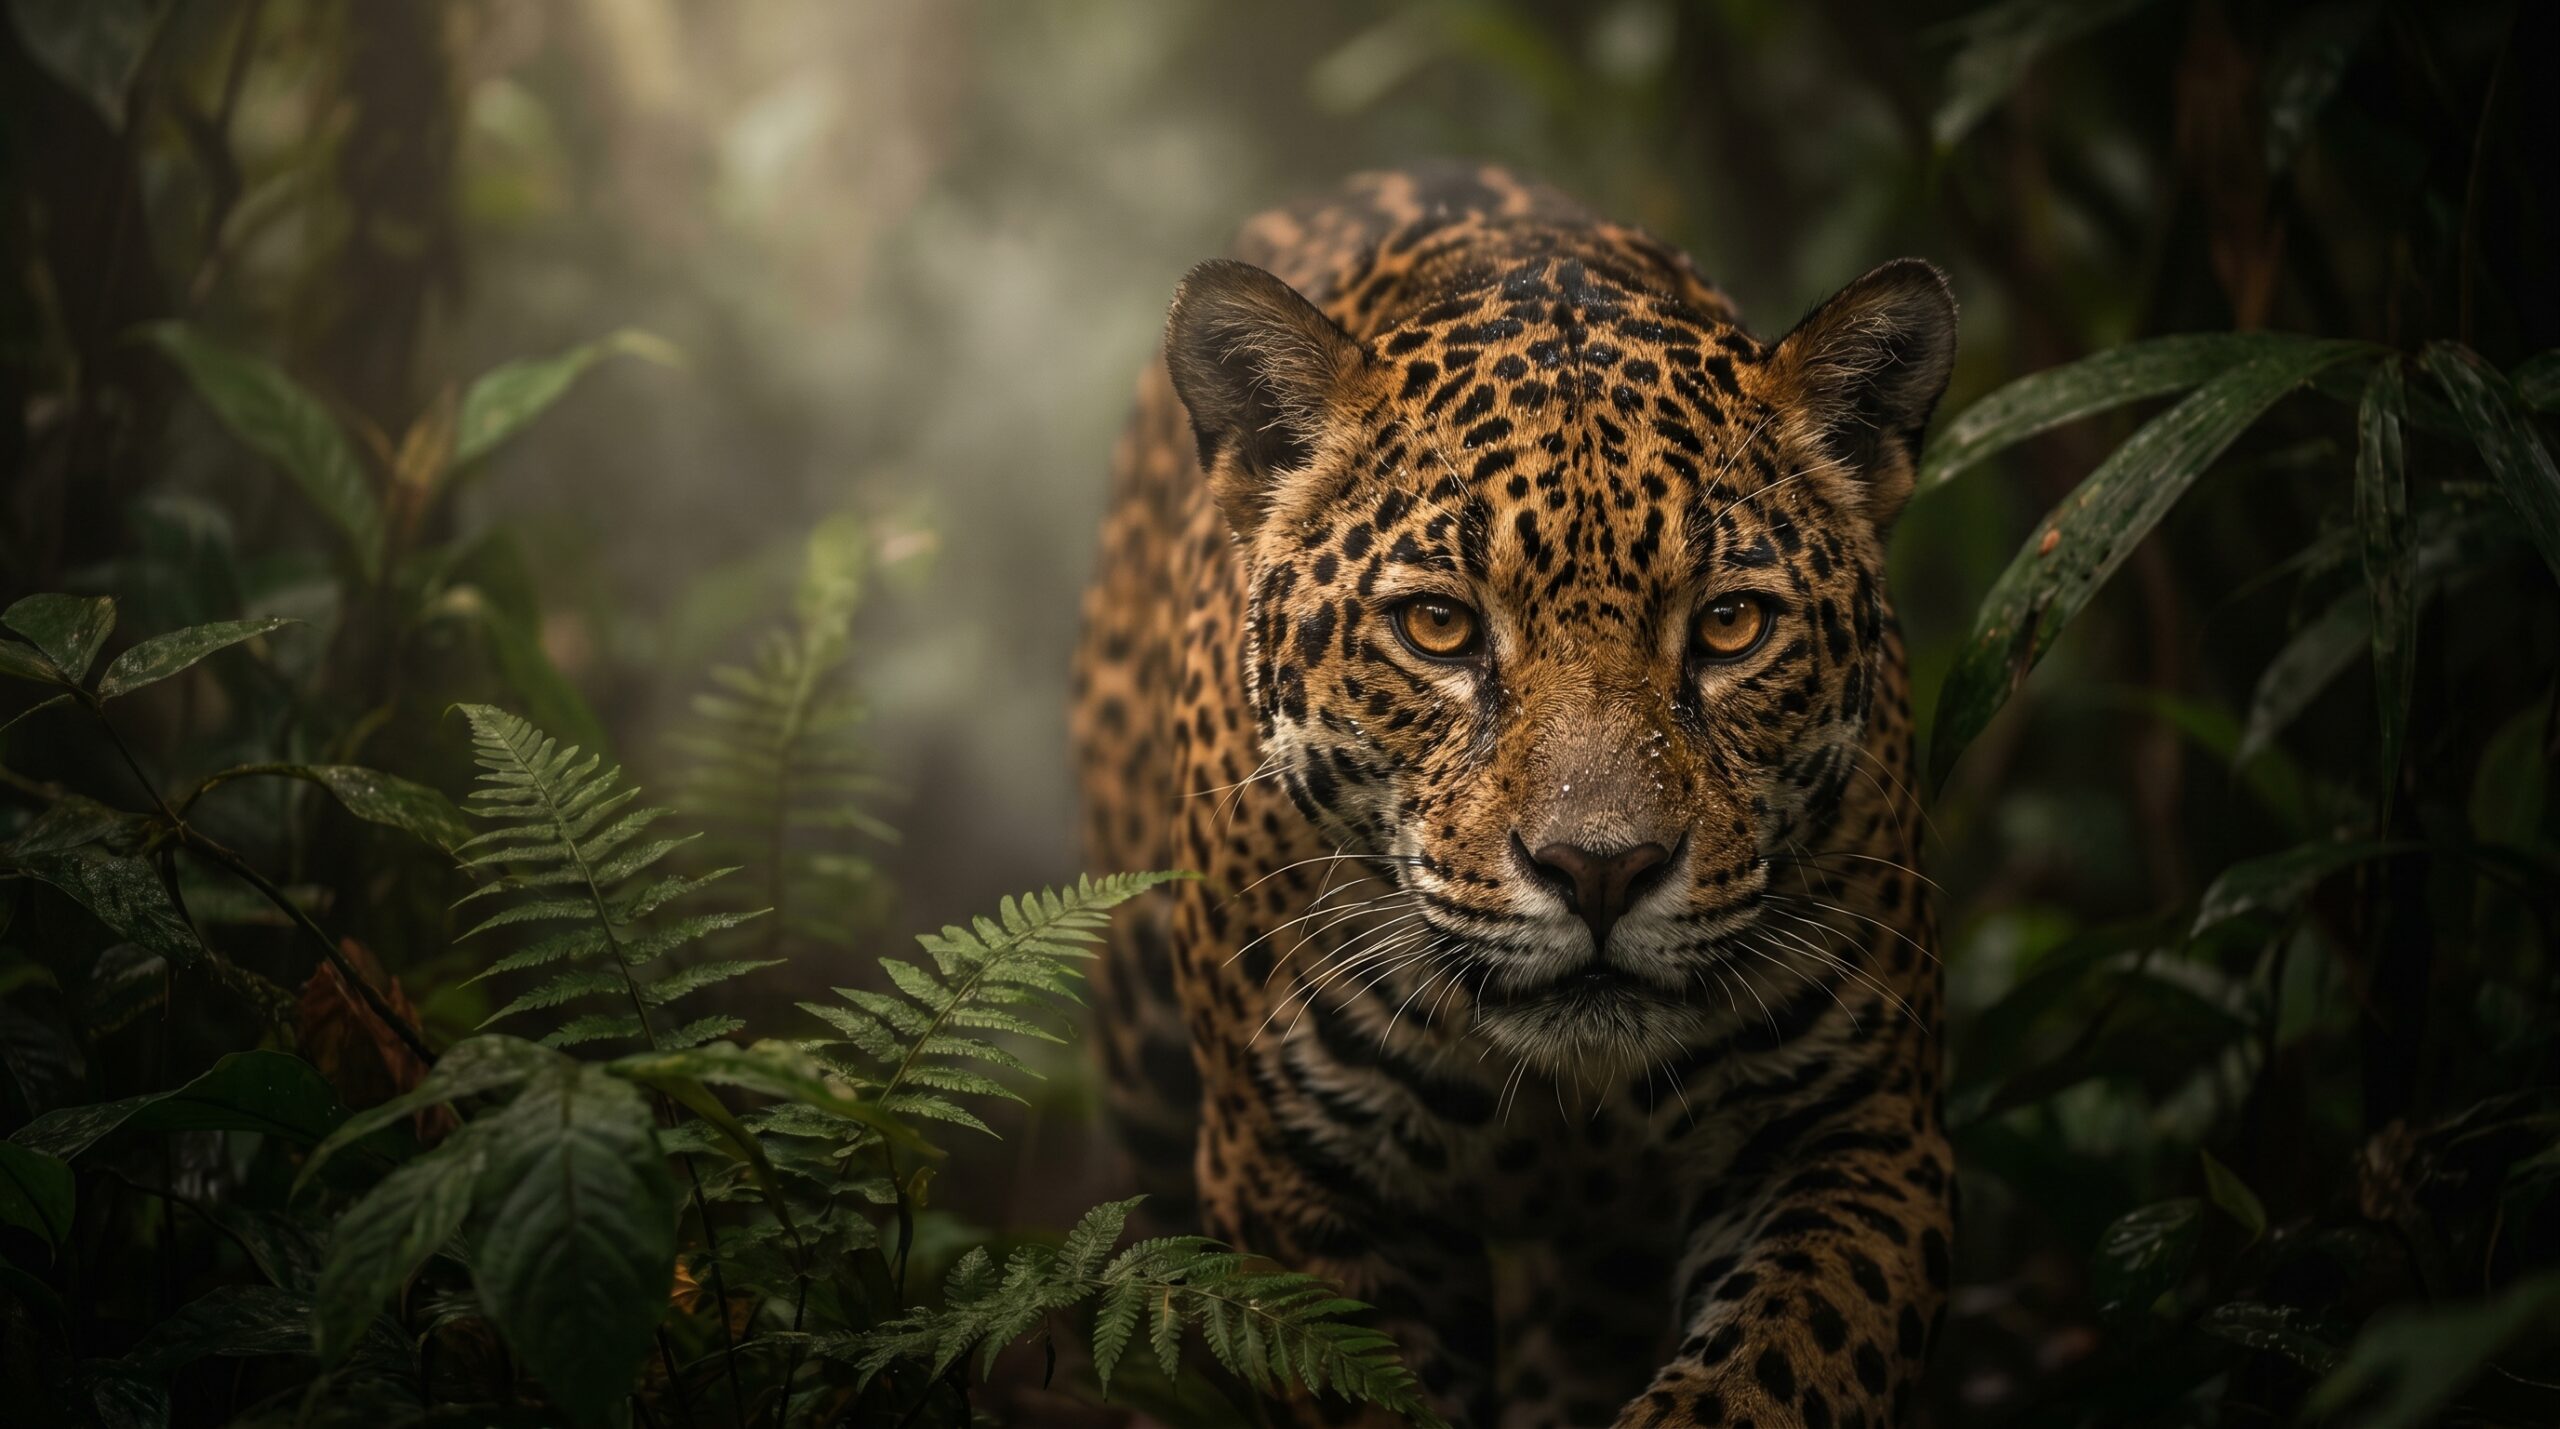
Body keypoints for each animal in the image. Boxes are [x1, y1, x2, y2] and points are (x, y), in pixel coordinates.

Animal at [1072, 163, 1955, 1429]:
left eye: (1732, 624)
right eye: (1438, 625)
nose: (1600, 871)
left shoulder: (1858, 1127)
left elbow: (1768, 1376)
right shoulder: (1296, 1174)